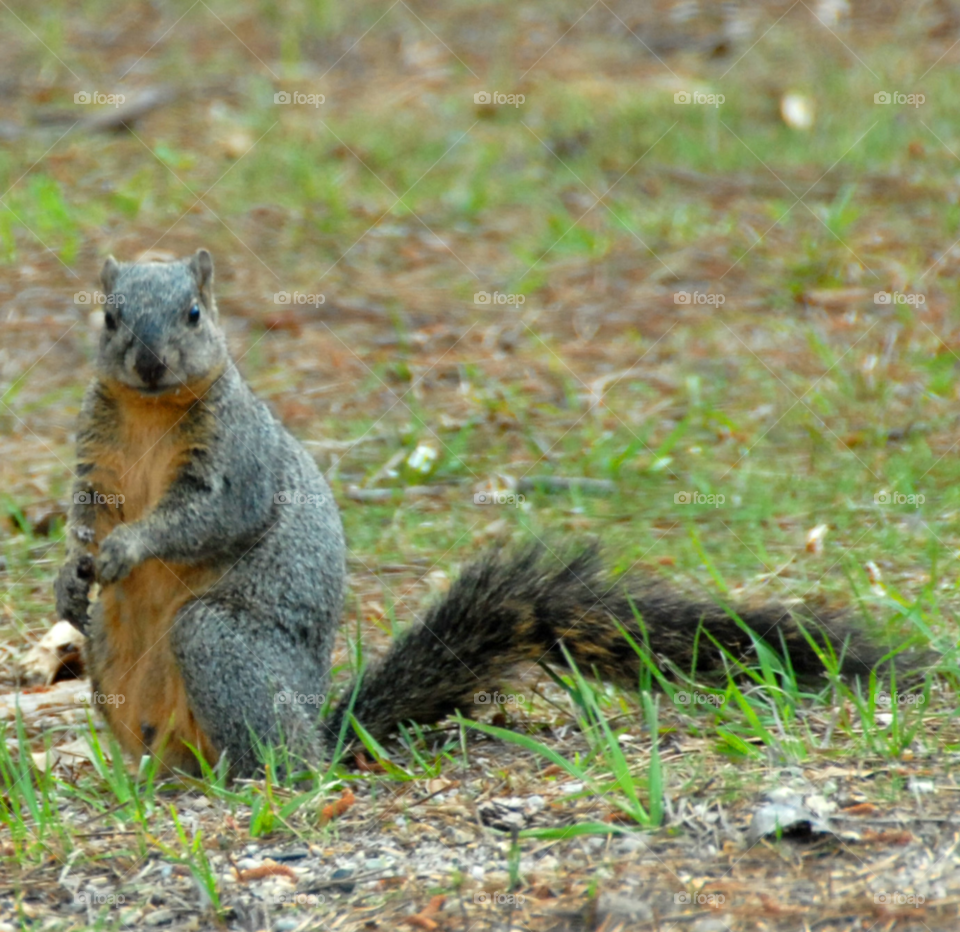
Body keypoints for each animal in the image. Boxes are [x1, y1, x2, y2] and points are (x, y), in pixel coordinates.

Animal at [54, 249, 919, 777]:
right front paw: (71, 572)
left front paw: (128, 549)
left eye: (195, 315)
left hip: (222, 644)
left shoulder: (235, 462)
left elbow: (203, 518)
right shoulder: (96, 458)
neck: (150, 412)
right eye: (109, 316)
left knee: (274, 757)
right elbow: (83, 515)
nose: (150, 361)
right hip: (112, 659)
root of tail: (319, 738)